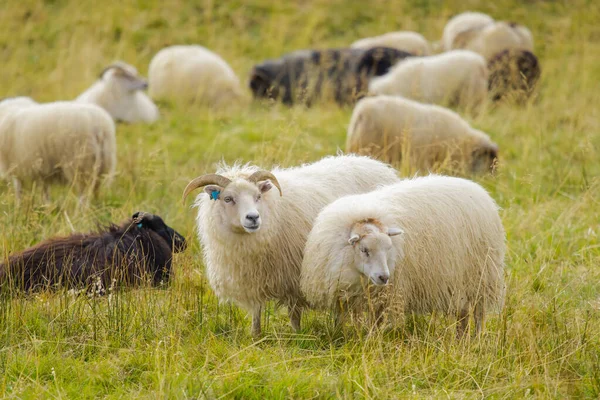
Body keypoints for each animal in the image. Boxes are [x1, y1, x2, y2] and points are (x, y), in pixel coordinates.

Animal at [180, 155, 400, 336]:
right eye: (228, 198)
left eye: (257, 196)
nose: (253, 217)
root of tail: (376, 163)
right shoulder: (253, 277)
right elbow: (257, 310)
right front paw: (255, 335)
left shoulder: (294, 275)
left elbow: (294, 312)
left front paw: (297, 335)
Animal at [300, 175, 506, 334]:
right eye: (364, 250)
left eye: (388, 248)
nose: (384, 277)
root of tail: (478, 190)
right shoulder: (347, 295)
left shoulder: (387, 294)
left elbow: (377, 321)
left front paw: (370, 340)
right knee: (463, 312)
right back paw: (461, 339)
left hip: (480, 276)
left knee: (478, 313)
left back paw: (475, 340)